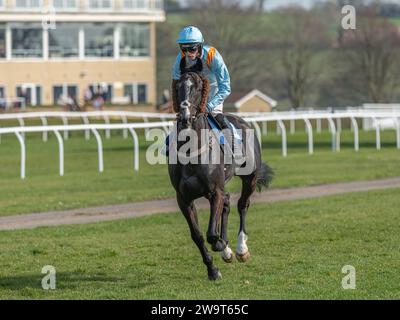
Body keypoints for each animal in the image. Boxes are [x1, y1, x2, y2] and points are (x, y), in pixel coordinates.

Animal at [167, 59, 274, 280]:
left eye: (198, 87)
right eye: (178, 86)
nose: (185, 118)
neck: (193, 151)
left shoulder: (214, 190)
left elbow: (211, 234)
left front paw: (222, 246)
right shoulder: (184, 199)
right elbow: (198, 235)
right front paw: (213, 268)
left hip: (249, 177)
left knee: (242, 205)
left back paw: (241, 249)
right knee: (227, 203)